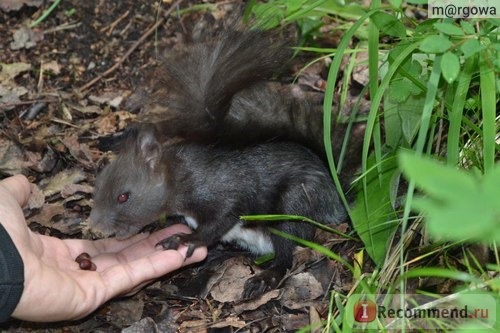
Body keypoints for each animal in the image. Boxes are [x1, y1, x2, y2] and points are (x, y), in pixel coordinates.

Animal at [87, 28, 348, 298]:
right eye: (98, 186)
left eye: (123, 196)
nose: (94, 228)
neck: (179, 176)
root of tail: (334, 200)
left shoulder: (222, 190)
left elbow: (222, 217)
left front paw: (187, 239)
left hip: (294, 205)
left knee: (285, 254)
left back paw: (264, 278)